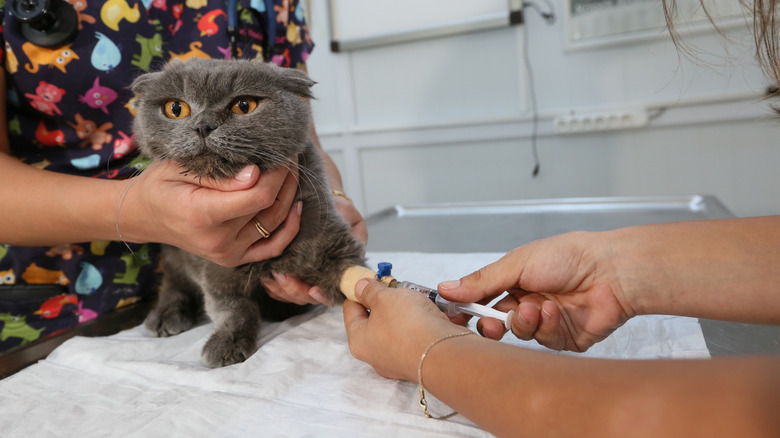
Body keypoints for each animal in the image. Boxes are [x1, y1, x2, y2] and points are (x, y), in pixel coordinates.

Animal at [130, 57, 366, 366]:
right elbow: (235, 308)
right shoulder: (217, 268)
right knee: (172, 282)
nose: (203, 126)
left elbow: (350, 270)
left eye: (244, 105)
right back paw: (165, 315)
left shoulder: (329, 235)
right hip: (174, 251)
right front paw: (228, 343)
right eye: (176, 108)